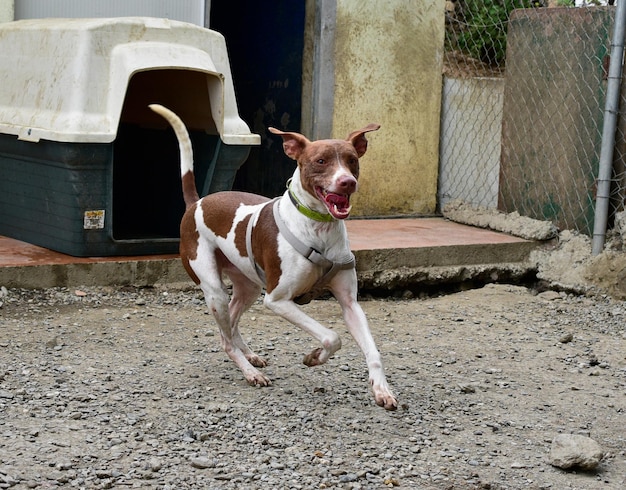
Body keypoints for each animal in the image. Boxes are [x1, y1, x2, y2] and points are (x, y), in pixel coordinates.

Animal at [149, 103, 398, 410]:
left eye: (352, 160)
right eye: (320, 161)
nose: (347, 182)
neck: (318, 227)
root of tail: (197, 202)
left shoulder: (350, 304)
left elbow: (372, 351)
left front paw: (382, 390)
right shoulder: (277, 300)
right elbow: (332, 336)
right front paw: (314, 357)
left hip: (248, 288)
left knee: (231, 324)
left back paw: (250, 355)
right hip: (215, 289)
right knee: (225, 338)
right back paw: (250, 372)